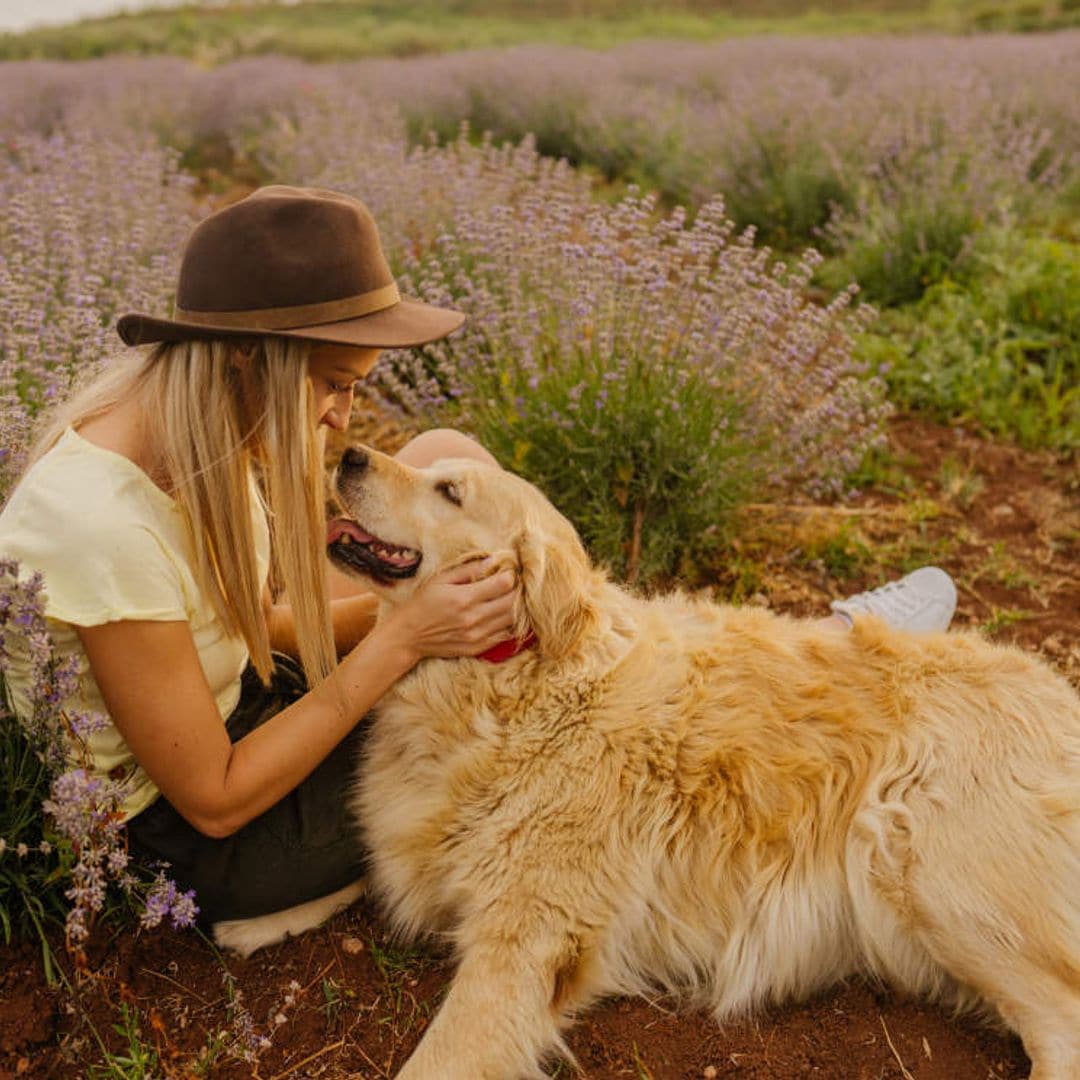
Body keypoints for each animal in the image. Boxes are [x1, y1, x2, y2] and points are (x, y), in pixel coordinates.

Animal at [219, 442, 1080, 1075]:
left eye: (450, 492)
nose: (350, 453)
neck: (513, 686)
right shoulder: (428, 839)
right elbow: (361, 869)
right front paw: (254, 921)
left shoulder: (526, 943)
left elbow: (439, 1059)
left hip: (927, 870)